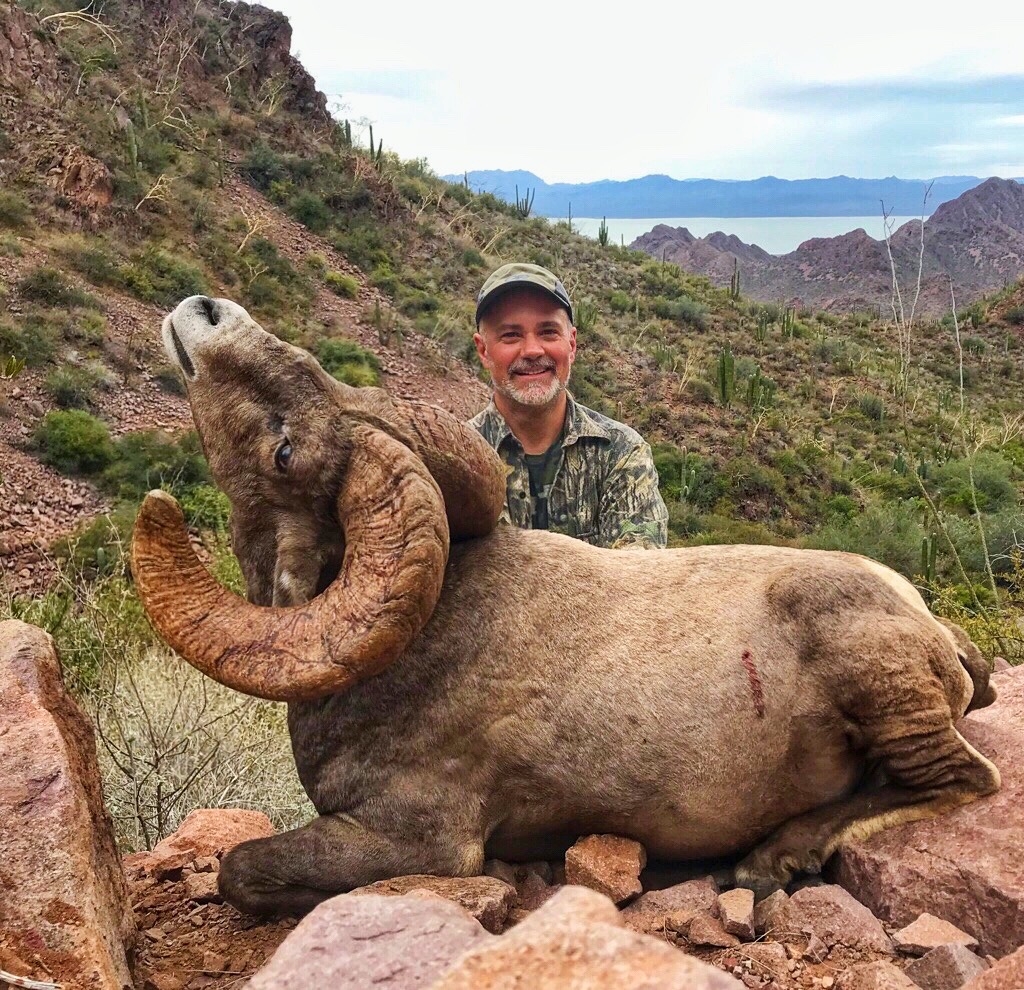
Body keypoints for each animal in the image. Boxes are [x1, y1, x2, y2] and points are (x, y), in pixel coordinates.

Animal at [131, 295, 1000, 917]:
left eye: (285, 450)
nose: (206, 313)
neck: (426, 644)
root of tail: (931, 630)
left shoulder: (415, 837)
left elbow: (243, 870)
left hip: (879, 681)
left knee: (968, 777)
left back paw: (771, 860)